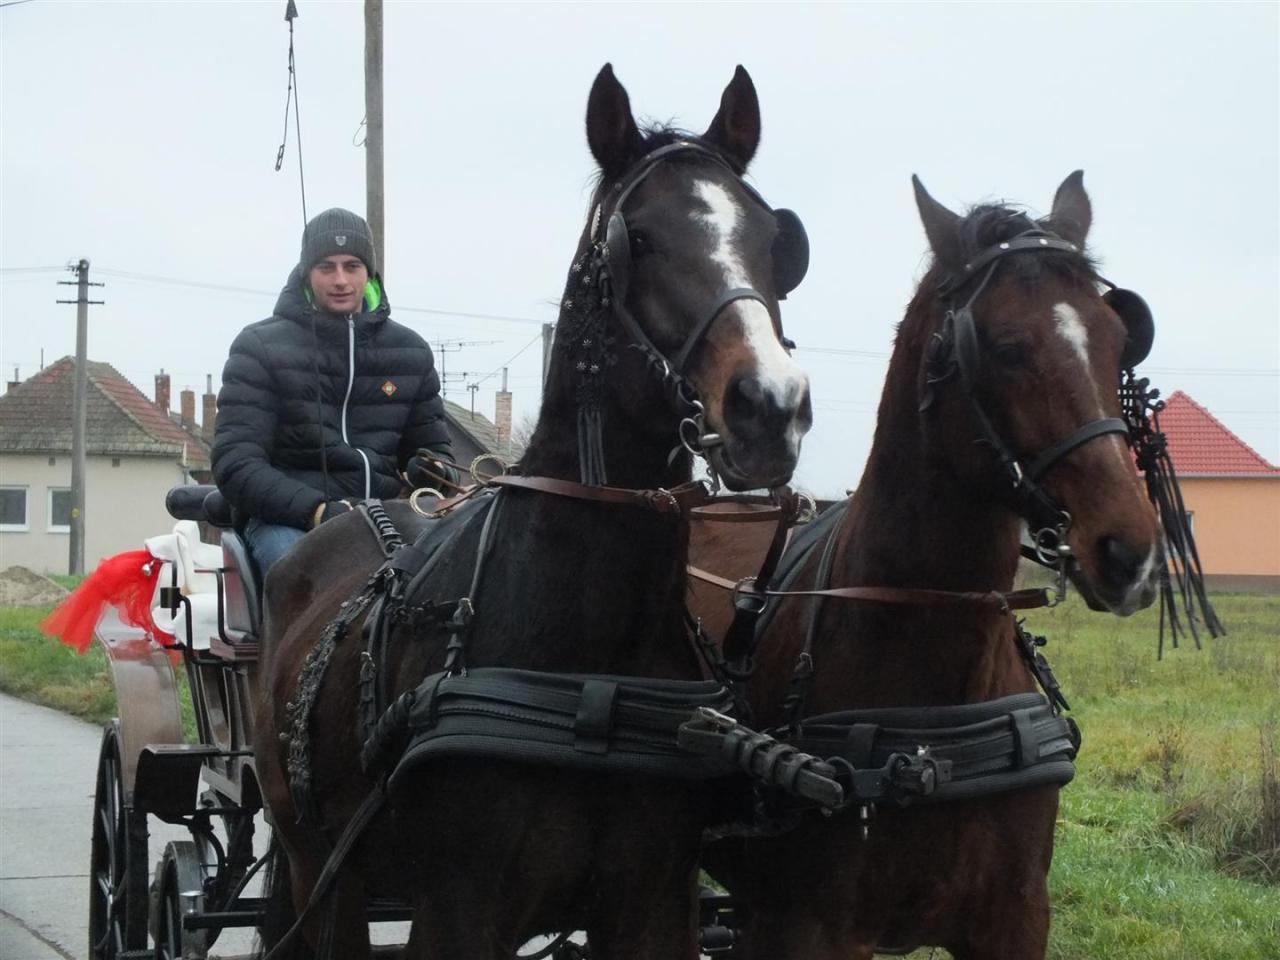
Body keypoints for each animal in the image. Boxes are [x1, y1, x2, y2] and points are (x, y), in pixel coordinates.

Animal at [252, 63, 813, 960]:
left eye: (774, 240)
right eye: (635, 240)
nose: (771, 407)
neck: (593, 663)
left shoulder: (656, 902)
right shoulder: (459, 910)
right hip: (320, 868)